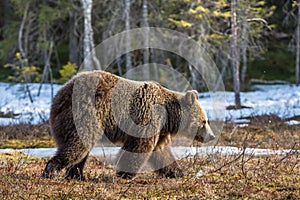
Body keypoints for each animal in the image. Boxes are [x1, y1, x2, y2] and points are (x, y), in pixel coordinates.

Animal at [42, 70, 216, 180]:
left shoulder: (160, 130)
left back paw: (77, 175)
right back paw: (52, 170)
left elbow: (161, 152)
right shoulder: (148, 118)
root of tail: (60, 94)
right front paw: (124, 174)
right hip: (86, 113)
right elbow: (139, 147)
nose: (212, 136)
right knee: (77, 145)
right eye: (204, 121)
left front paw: (179, 172)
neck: (168, 117)